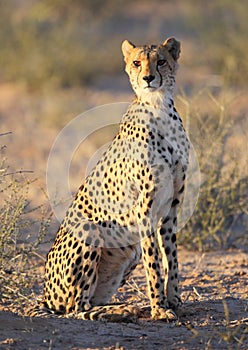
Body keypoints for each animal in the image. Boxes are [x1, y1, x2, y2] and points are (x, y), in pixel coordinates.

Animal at [35, 37, 190, 322]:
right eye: (137, 62)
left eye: (161, 61)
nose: (148, 78)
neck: (158, 106)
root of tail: (45, 296)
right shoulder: (144, 209)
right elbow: (154, 263)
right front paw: (159, 309)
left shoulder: (171, 207)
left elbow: (171, 258)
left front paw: (174, 301)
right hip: (88, 228)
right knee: (77, 308)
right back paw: (122, 310)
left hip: (129, 252)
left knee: (90, 302)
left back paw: (125, 307)